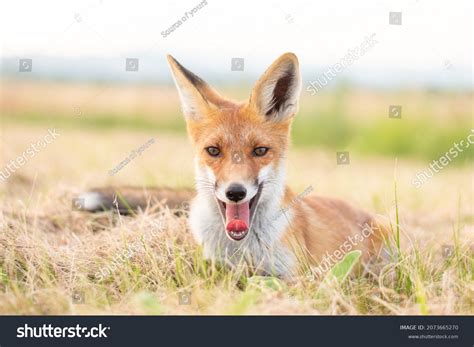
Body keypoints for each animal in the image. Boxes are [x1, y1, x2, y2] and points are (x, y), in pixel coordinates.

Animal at [78, 52, 388, 280]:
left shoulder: (298, 278)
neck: (242, 250)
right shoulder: (214, 266)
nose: (235, 192)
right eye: (213, 151)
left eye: (260, 151)